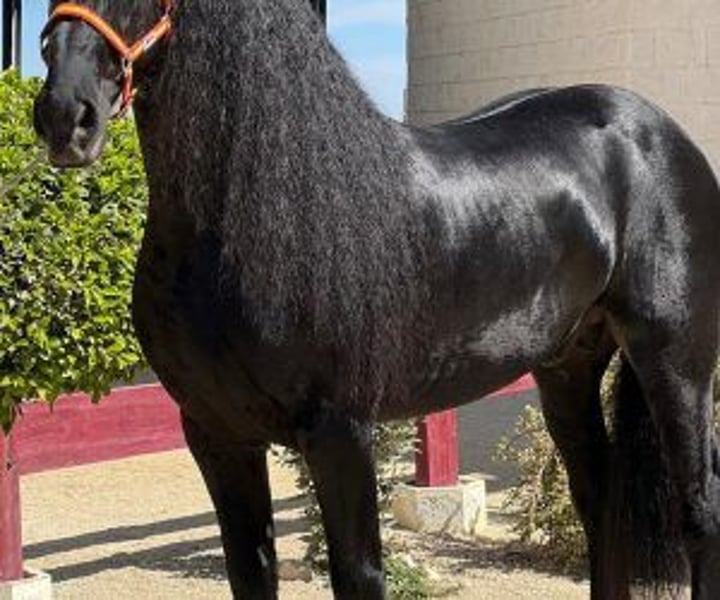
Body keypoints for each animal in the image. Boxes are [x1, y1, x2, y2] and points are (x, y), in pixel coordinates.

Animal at [32, 1, 720, 598]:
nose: (66, 115)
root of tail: (658, 130)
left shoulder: (341, 431)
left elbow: (359, 576)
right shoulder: (217, 433)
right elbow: (251, 573)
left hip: (675, 362)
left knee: (699, 512)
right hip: (567, 365)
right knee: (601, 503)